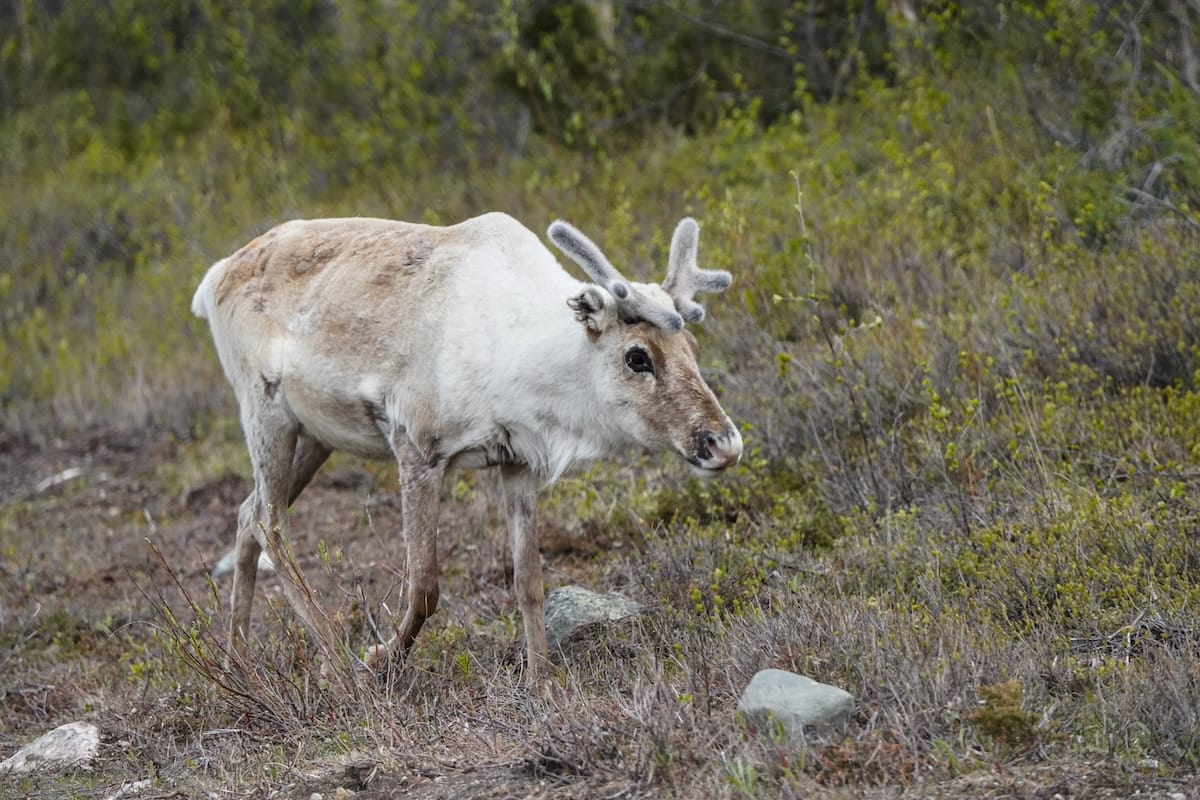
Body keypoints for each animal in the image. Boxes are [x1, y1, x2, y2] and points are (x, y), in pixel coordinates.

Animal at [191, 211, 742, 682]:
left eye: (693, 349)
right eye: (637, 356)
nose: (724, 443)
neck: (520, 357)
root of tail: (213, 278)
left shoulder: (518, 461)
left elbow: (529, 580)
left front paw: (541, 682)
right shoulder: (416, 446)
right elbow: (424, 586)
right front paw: (380, 657)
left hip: (315, 435)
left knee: (247, 512)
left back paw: (235, 663)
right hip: (264, 408)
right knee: (270, 522)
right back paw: (334, 656)